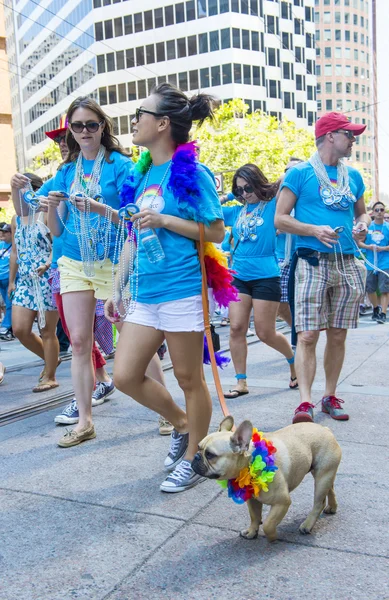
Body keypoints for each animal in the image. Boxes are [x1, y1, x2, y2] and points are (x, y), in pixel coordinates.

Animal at [191, 418, 340, 544]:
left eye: (210, 455)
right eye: (198, 447)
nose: (196, 456)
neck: (250, 463)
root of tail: (326, 429)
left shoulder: (282, 502)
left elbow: (268, 524)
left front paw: (272, 537)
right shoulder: (252, 500)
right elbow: (255, 517)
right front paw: (251, 531)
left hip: (322, 477)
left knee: (319, 503)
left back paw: (307, 525)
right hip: (326, 475)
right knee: (331, 489)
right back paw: (332, 507)